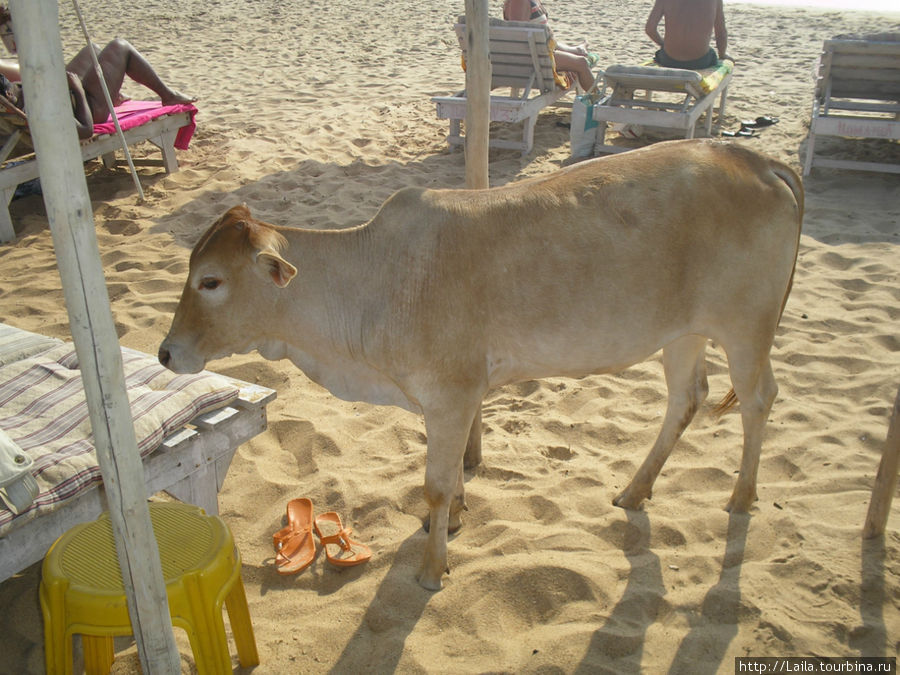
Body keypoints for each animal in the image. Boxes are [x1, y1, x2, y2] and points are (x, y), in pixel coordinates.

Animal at [160, 139, 800, 592]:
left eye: (210, 281)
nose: (167, 353)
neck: (376, 280)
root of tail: (758, 159)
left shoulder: (451, 394)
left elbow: (437, 484)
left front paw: (432, 566)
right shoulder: (450, 399)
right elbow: (450, 481)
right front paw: (453, 522)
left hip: (746, 327)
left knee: (760, 398)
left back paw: (741, 497)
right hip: (684, 333)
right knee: (686, 398)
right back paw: (635, 491)